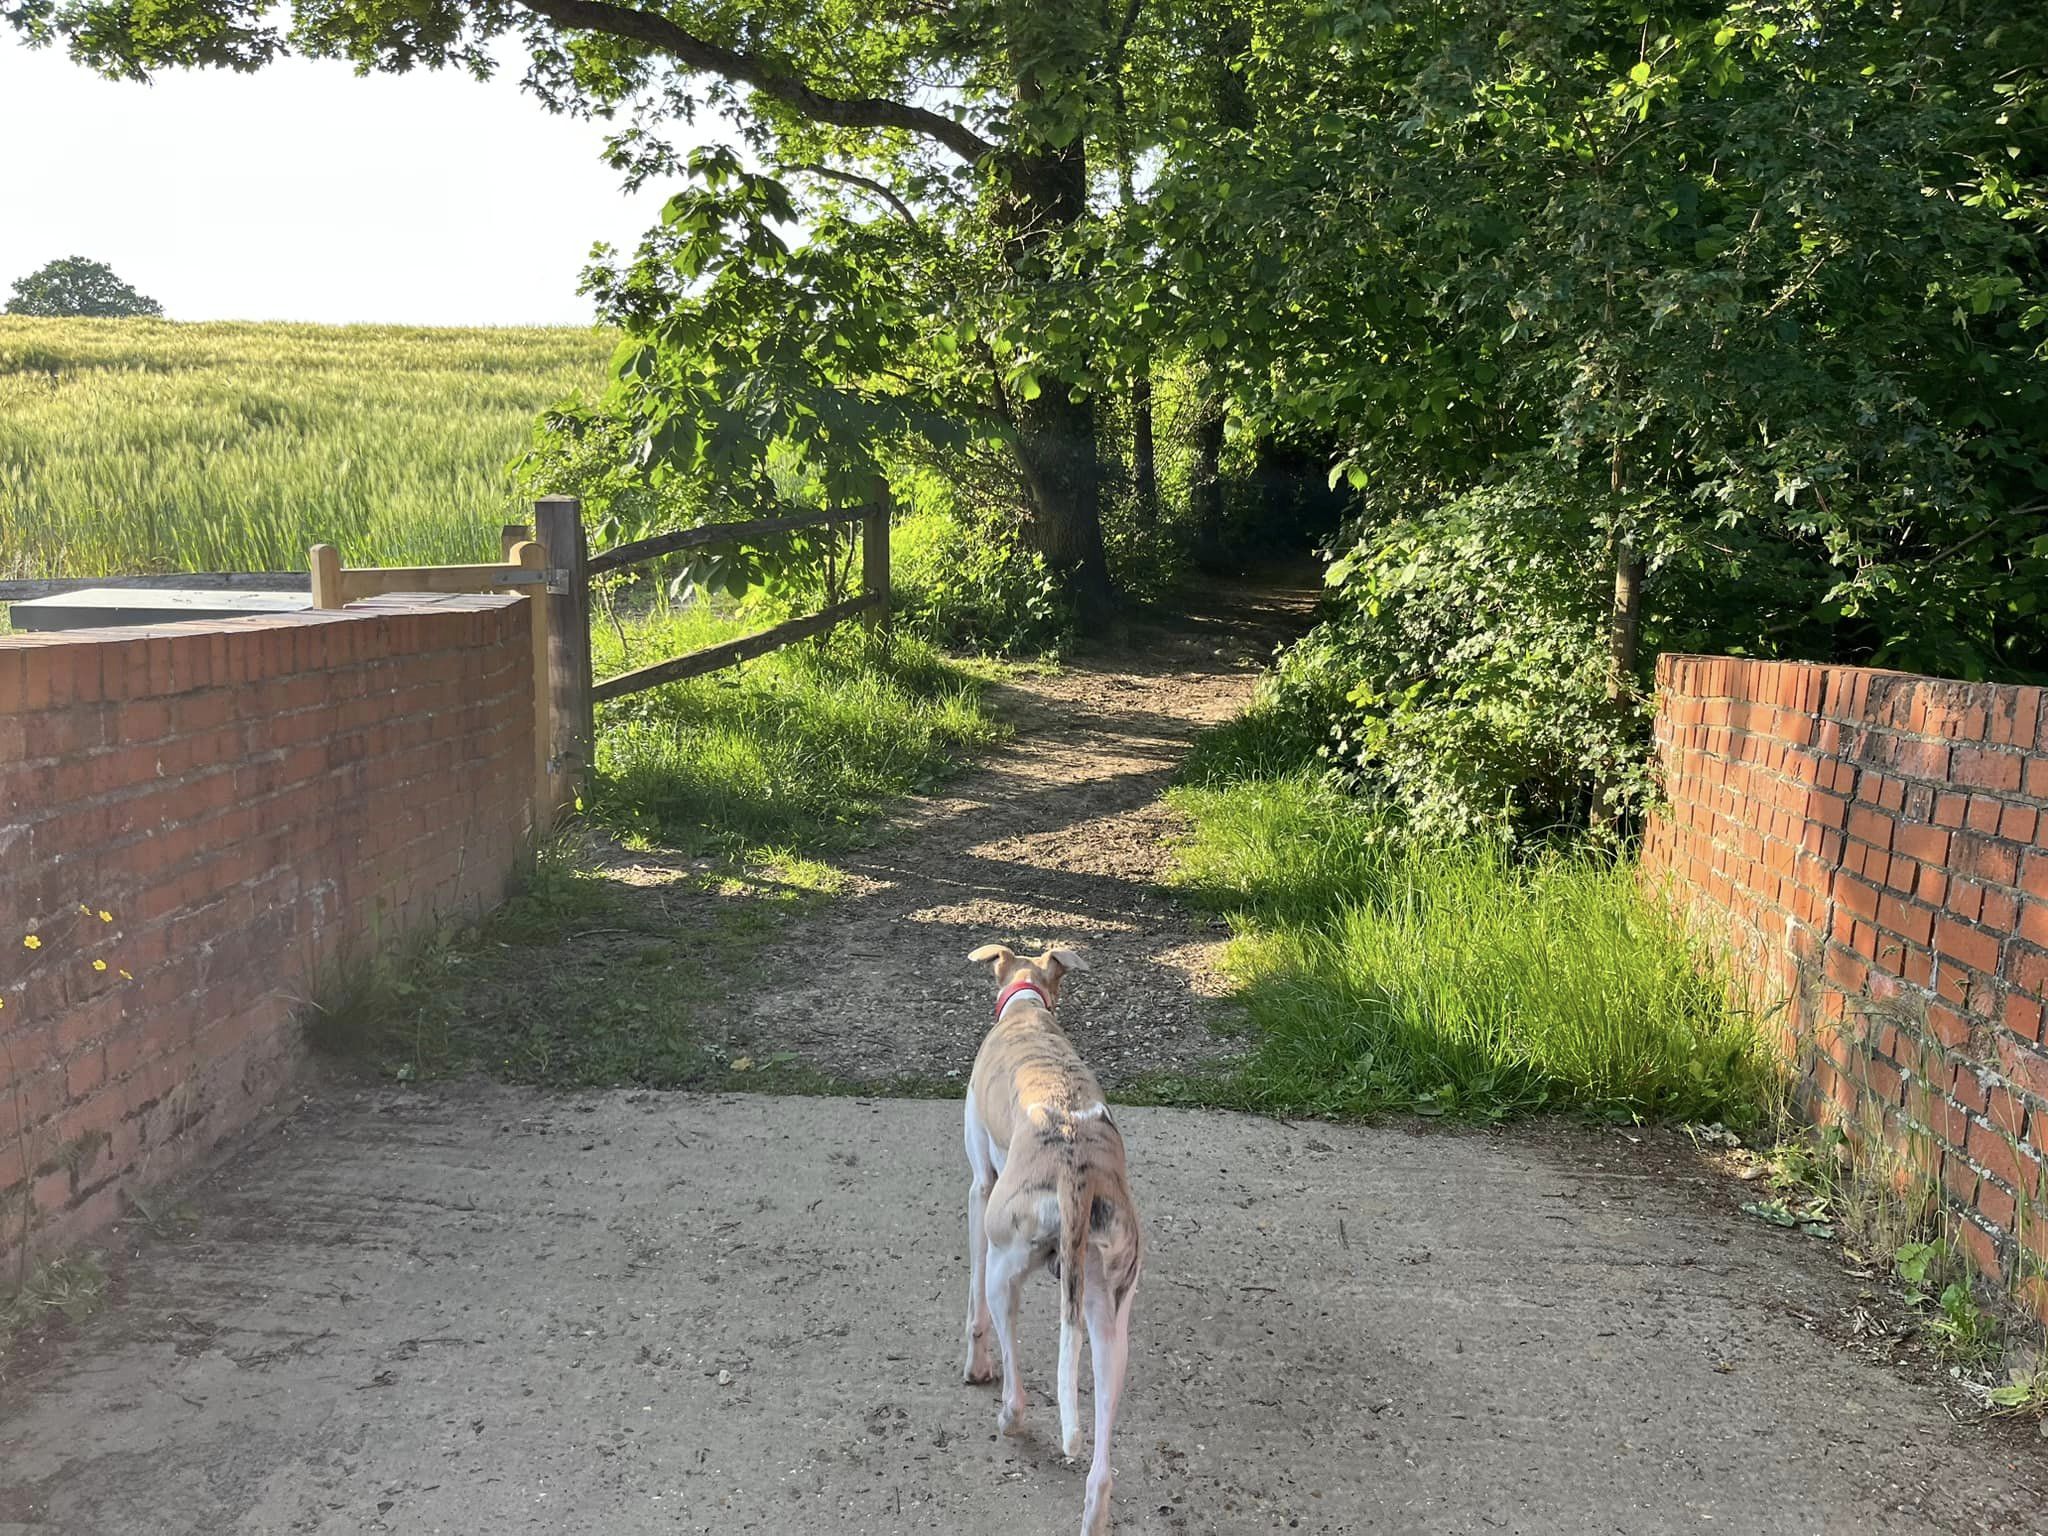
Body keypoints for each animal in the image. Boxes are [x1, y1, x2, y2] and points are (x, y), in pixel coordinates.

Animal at [961, 943, 1142, 1536]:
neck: (1027, 1012)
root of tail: (1075, 1170)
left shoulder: (980, 1188)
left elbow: (973, 1309)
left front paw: (974, 1366)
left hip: (1005, 1263)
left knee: (1014, 1375)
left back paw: (1007, 1416)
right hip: (1110, 1316)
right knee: (1101, 1458)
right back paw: (1095, 1510)